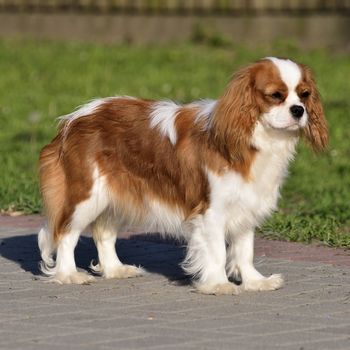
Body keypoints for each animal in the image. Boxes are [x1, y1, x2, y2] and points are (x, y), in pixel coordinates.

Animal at [38, 58, 328, 296]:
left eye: (304, 95)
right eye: (276, 96)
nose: (298, 110)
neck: (254, 137)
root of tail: (73, 120)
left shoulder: (246, 204)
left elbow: (244, 250)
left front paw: (255, 282)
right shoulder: (212, 211)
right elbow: (218, 251)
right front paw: (219, 284)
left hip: (116, 194)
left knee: (104, 232)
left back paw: (115, 269)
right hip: (87, 195)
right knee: (65, 233)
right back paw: (69, 274)